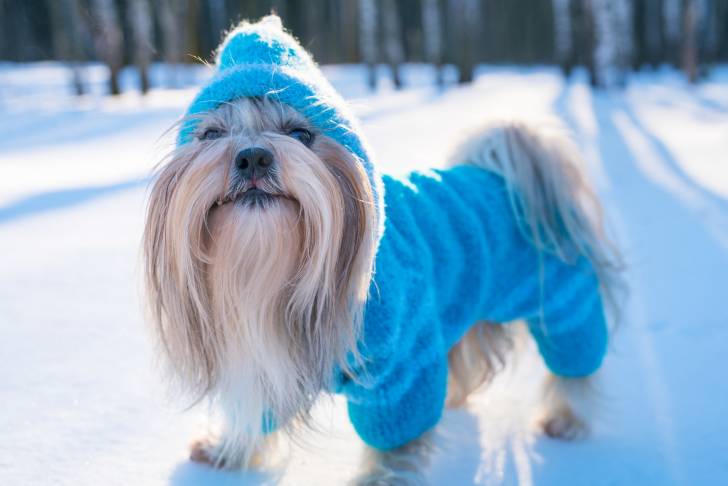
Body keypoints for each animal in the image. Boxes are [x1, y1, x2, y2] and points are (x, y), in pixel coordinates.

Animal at [142, 15, 620, 482]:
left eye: (300, 133)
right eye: (211, 134)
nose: (253, 156)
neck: (274, 266)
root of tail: (509, 179)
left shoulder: (401, 367)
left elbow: (396, 441)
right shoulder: (262, 354)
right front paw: (228, 451)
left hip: (563, 303)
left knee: (575, 363)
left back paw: (566, 418)